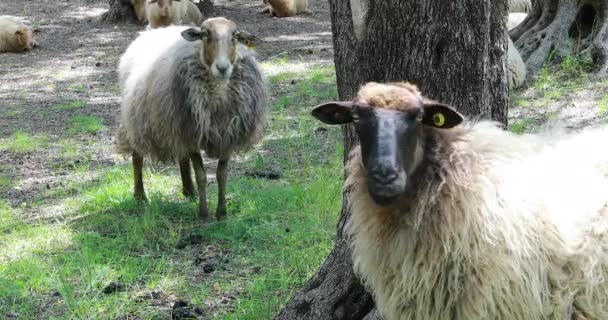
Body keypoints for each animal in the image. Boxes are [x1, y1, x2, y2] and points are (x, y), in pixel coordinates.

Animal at [116, 17, 268, 220]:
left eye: (235, 37)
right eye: (205, 35)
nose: (222, 68)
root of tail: (153, 31)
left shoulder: (227, 134)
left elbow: (221, 175)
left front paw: (221, 213)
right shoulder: (193, 134)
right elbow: (201, 175)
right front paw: (203, 214)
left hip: (177, 123)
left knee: (182, 157)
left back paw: (189, 191)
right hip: (138, 119)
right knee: (137, 156)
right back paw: (140, 196)